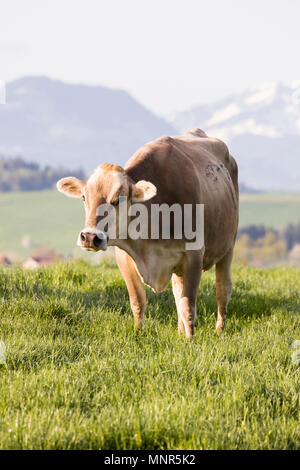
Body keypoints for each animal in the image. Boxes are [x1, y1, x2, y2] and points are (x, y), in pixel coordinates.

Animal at [56, 129, 239, 338]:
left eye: (117, 200)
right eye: (84, 197)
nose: (89, 237)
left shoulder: (194, 255)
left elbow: (188, 306)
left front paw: (191, 339)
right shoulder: (124, 257)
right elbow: (138, 300)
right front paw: (138, 332)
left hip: (228, 246)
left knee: (222, 289)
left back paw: (219, 329)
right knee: (178, 290)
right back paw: (179, 331)